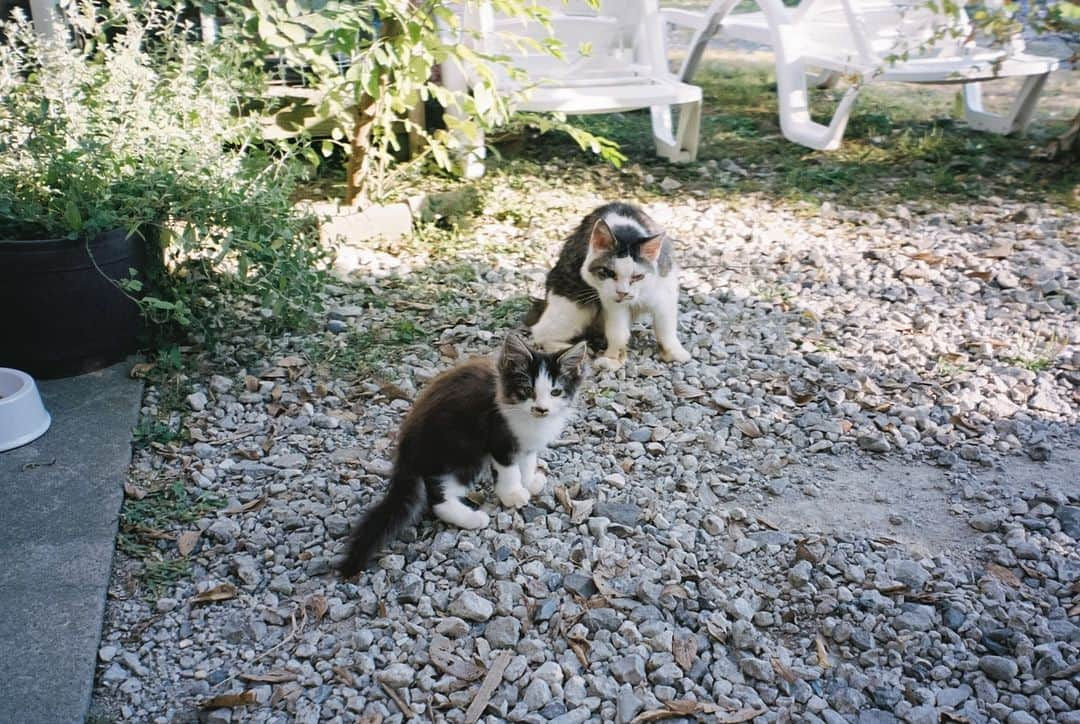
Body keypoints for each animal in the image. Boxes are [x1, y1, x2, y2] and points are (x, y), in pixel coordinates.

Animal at [339, 332, 587, 574]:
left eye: (555, 392)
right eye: (528, 390)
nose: (541, 409)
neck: (526, 417)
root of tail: (406, 451)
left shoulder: (525, 443)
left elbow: (527, 461)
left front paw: (529, 482)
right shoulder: (499, 437)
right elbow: (509, 470)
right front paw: (513, 494)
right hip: (466, 450)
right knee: (437, 498)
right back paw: (471, 518)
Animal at [529, 200, 691, 369]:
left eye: (638, 276)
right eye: (608, 273)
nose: (623, 292)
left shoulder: (665, 293)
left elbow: (666, 328)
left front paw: (674, 352)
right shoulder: (610, 301)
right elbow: (617, 332)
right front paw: (613, 359)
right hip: (573, 307)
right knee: (540, 333)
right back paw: (575, 351)